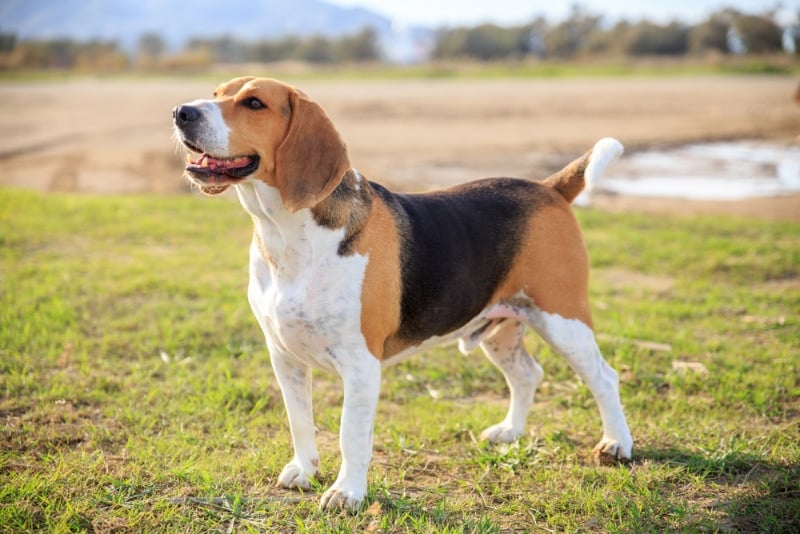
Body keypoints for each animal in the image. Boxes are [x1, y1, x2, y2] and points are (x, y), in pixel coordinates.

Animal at [173, 77, 632, 512]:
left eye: (254, 103)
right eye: (217, 92)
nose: (181, 111)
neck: (287, 235)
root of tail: (548, 187)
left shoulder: (360, 366)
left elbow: (351, 435)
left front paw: (347, 493)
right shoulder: (284, 357)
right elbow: (299, 421)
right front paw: (305, 471)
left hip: (563, 320)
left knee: (604, 378)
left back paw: (616, 444)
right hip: (501, 328)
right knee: (527, 374)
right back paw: (510, 431)